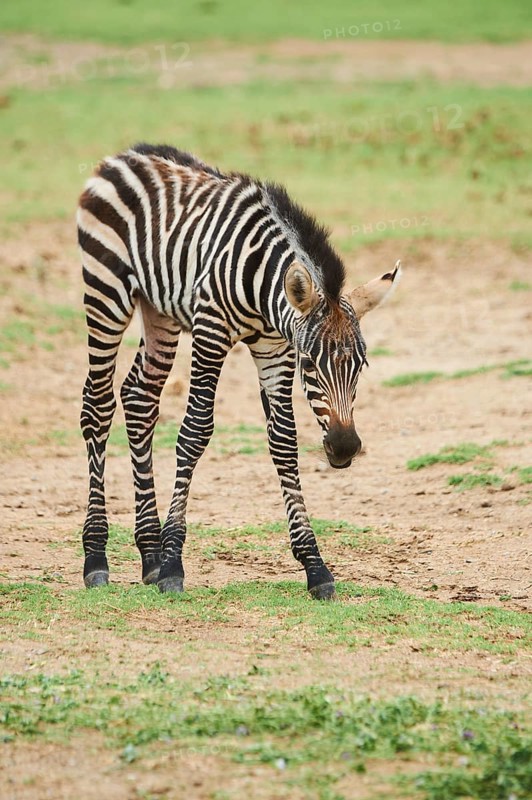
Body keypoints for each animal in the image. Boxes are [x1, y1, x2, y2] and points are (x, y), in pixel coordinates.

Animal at [78, 143, 401, 600]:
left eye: (361, 366)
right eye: (309, 364)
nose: (343, 448)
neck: (263, 288)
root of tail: (127, 154)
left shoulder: (273, 349)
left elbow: (283, 444)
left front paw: (315, 565)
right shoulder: (211, 331)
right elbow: (194, 432)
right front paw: (174, 563)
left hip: (160, 311)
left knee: (140, 399)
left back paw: (149, 554)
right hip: (105, 291)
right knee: (98, 405)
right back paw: (97, 556)